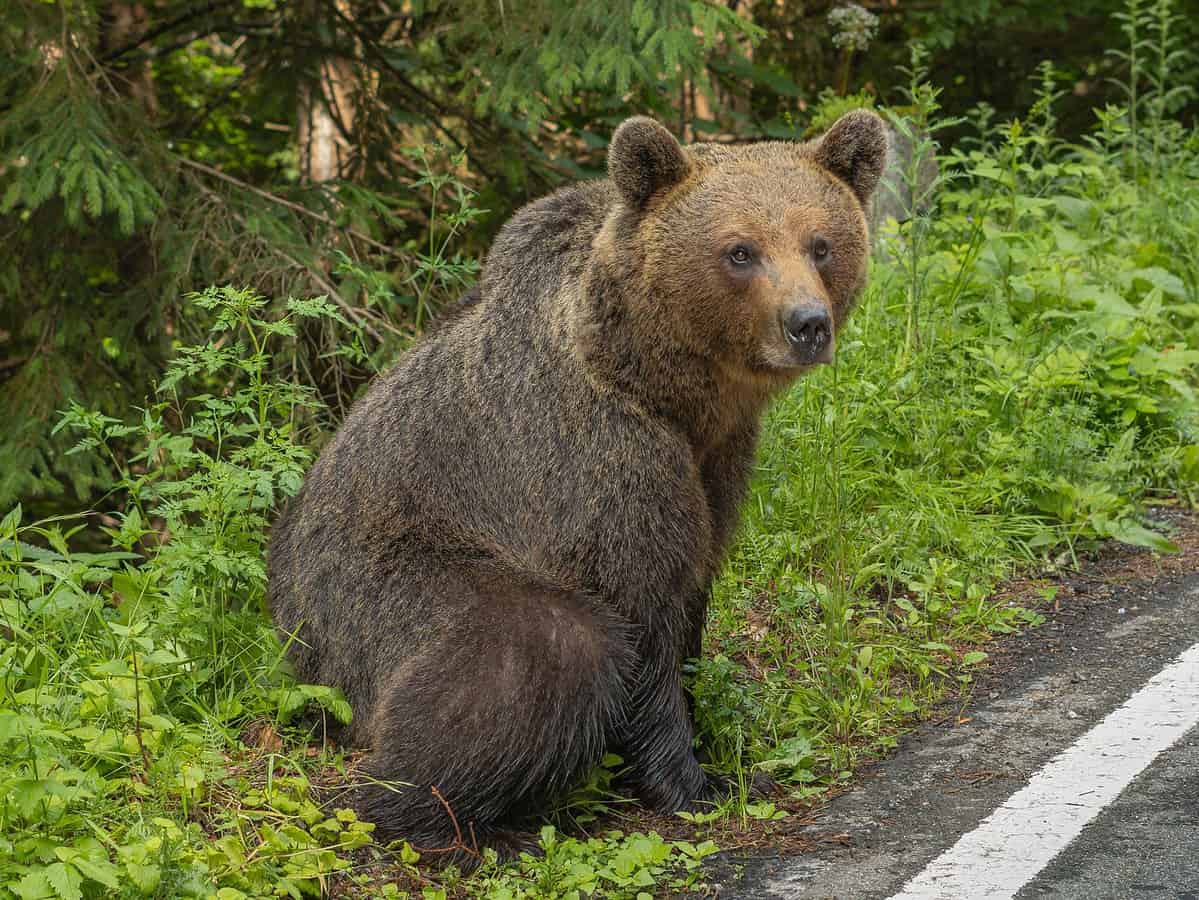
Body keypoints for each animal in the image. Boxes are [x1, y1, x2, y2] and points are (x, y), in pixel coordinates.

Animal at [272, 109, 892, 862]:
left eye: (821, 243)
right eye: (740, 250)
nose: (807, 324)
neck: (667, 387)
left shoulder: (717, 462)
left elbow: (693, 586)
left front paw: (724, 748)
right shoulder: (596, 458)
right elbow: (639, 610)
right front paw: (692, 781)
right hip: (380, 592)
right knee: (544, 648)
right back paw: (458, 826)